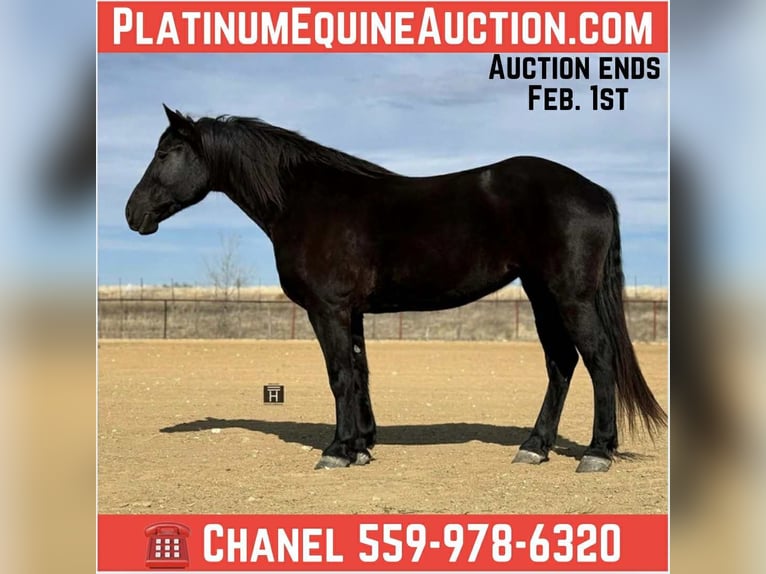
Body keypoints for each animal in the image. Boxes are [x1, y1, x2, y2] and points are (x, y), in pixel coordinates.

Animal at [125, 104, 667, 473]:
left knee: (598, 358)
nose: (133, 213)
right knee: (561, 362)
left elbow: (340, 375)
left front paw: (336, 451)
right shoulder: (351, 311)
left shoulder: (328, 309)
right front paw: (361, 445)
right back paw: (534, 447)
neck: (307, 201)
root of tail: (594, 191)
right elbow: (360, 373)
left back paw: (597, 452)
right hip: (541, 294)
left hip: (570, 295)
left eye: (166, 152)